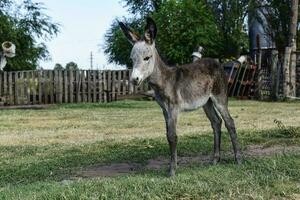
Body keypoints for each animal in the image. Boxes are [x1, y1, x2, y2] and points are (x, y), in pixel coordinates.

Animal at [119, 17, 241, 177]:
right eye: (132, 59)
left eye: (147, 58)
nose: (134, 80)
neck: (164, 80)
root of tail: (216, 62)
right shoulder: (164, 110)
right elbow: (167, 135)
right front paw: (173, 166)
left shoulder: (174, 109)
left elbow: (172, 136)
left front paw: (172, 171)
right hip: (206, 102)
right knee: (216, 122)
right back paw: (215, 160)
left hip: (219, 98)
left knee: (229, 122)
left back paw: (238, 159)